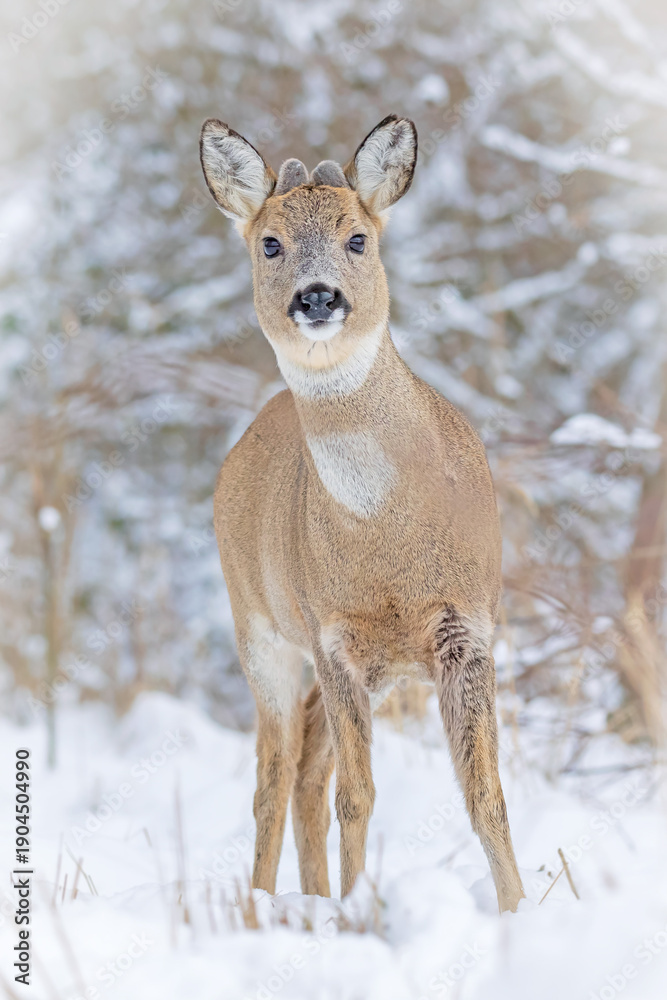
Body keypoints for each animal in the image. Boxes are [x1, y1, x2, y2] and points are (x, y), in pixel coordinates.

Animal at [199, 113, 525, 913]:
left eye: (358, 238)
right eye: (270, 242)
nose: (318, 298)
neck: (386, 538)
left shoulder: (469, 625)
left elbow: (486, 795)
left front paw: (517, 911)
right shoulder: (331, 637)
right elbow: (358, 797)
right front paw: (357, 908)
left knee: (304, 778)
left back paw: (309, 901)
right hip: (261, 634)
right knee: (276, 776)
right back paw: (266, 905)